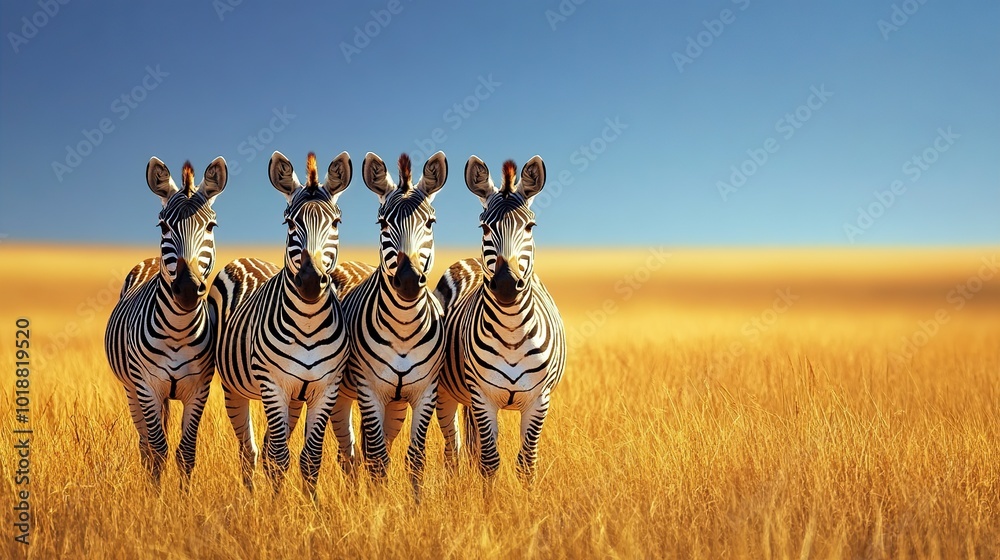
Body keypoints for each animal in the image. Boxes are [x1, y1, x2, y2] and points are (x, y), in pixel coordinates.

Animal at [105, 156, 228, 489]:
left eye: (210, 226)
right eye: (164, 226)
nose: (186, 288)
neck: (178, 330)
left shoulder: (199, 388)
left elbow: (186, 451)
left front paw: (183, 500)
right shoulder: (147, 386)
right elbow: (158, 450)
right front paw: (157, 499)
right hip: (132, 389)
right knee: (145, 444)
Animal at [209, 151, 352, 498]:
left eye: (336, 223)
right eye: (290, 223)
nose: (311, 281)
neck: (308, 324)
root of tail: (245, 258)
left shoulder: (325, 387)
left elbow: (310, 457)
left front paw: (311, 507)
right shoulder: (273, 385)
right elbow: (277, 457)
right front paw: (276, 508)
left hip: (295, 398)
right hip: (235, 388)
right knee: (249, 450)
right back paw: (250, 497)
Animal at [329, 152, 447, 500]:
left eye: (430, 222)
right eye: (382, 223)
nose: (408, 280)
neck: (404, 330)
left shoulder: (425, 391)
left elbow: (415, 457)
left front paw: (415, 505)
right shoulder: (370, 390)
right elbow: (377, 458)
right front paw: (378, 504)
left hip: (394, 404)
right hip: (343, 394)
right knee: (351, 451)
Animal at [435, 155, 566, 484]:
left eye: (530, 226)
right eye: (484, 226)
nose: (506, 284)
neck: (511, 333)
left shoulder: (539, 399)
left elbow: (527, 463)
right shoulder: (483, 397)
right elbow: (489, 462)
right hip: (445, 393)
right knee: (453, 449)